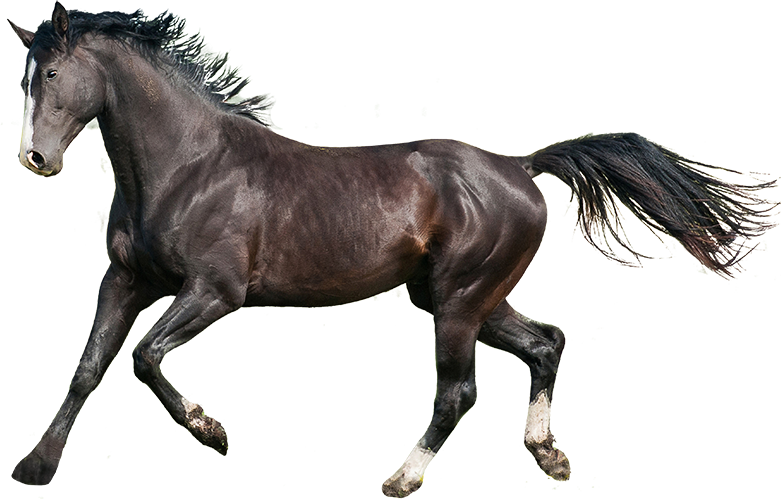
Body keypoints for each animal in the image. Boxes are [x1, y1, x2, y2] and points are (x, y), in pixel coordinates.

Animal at [9, 3, 774, 497]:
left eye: (50, 76)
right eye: (25, 76)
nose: (36, 158)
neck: (188, 166)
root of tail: (520, 167)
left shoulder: (215, 291)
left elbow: (143, 357)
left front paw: (212, 431)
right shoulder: (126, 280)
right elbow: (89, 367)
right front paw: (39, 463)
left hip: (460, 301)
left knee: (457, 391)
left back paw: (402, 478)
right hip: (460, 297)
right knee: (546, 343)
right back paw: (547, 456)